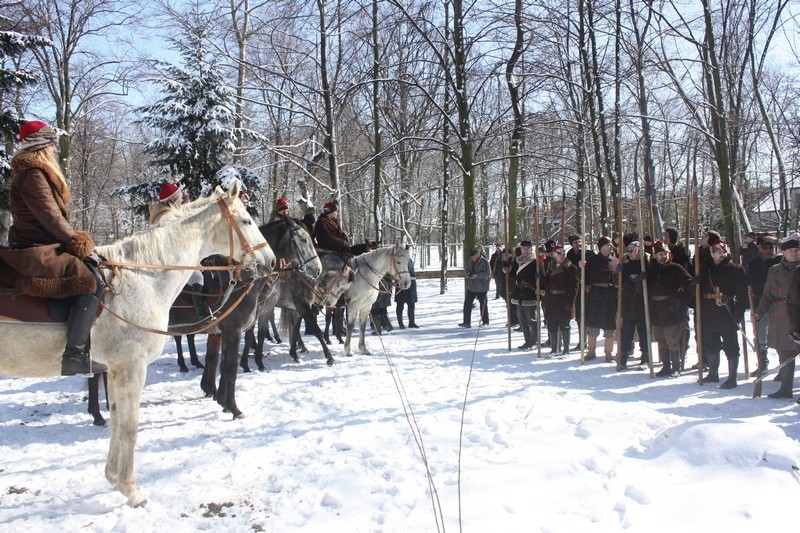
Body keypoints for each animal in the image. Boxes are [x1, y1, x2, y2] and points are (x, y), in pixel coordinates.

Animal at [0, 182, 276, 502]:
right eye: (246, 221)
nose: (270, 261)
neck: (144, 278)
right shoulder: (132, 366)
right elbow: (130, 426)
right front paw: (131, 491)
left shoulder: (116, 368)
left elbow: (118, 422)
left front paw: (113, 478)